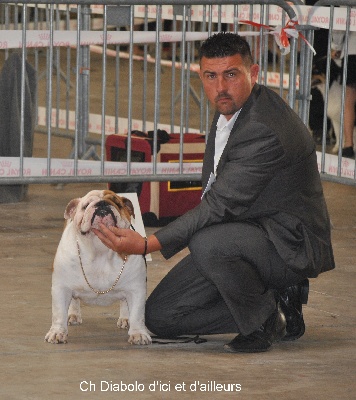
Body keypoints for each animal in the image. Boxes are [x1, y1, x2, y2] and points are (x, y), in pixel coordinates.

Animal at [44, 189, 150, 346]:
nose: (102, 204)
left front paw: (138, 334)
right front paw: (57, 332)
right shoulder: (60, 288)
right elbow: (58, 313)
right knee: (73, 300)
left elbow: (137, 313)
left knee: (125, 302)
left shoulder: (137, 289)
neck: (100, 249)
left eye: (117, 203)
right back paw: (73, 315)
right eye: (85, 206)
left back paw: (126, 318)